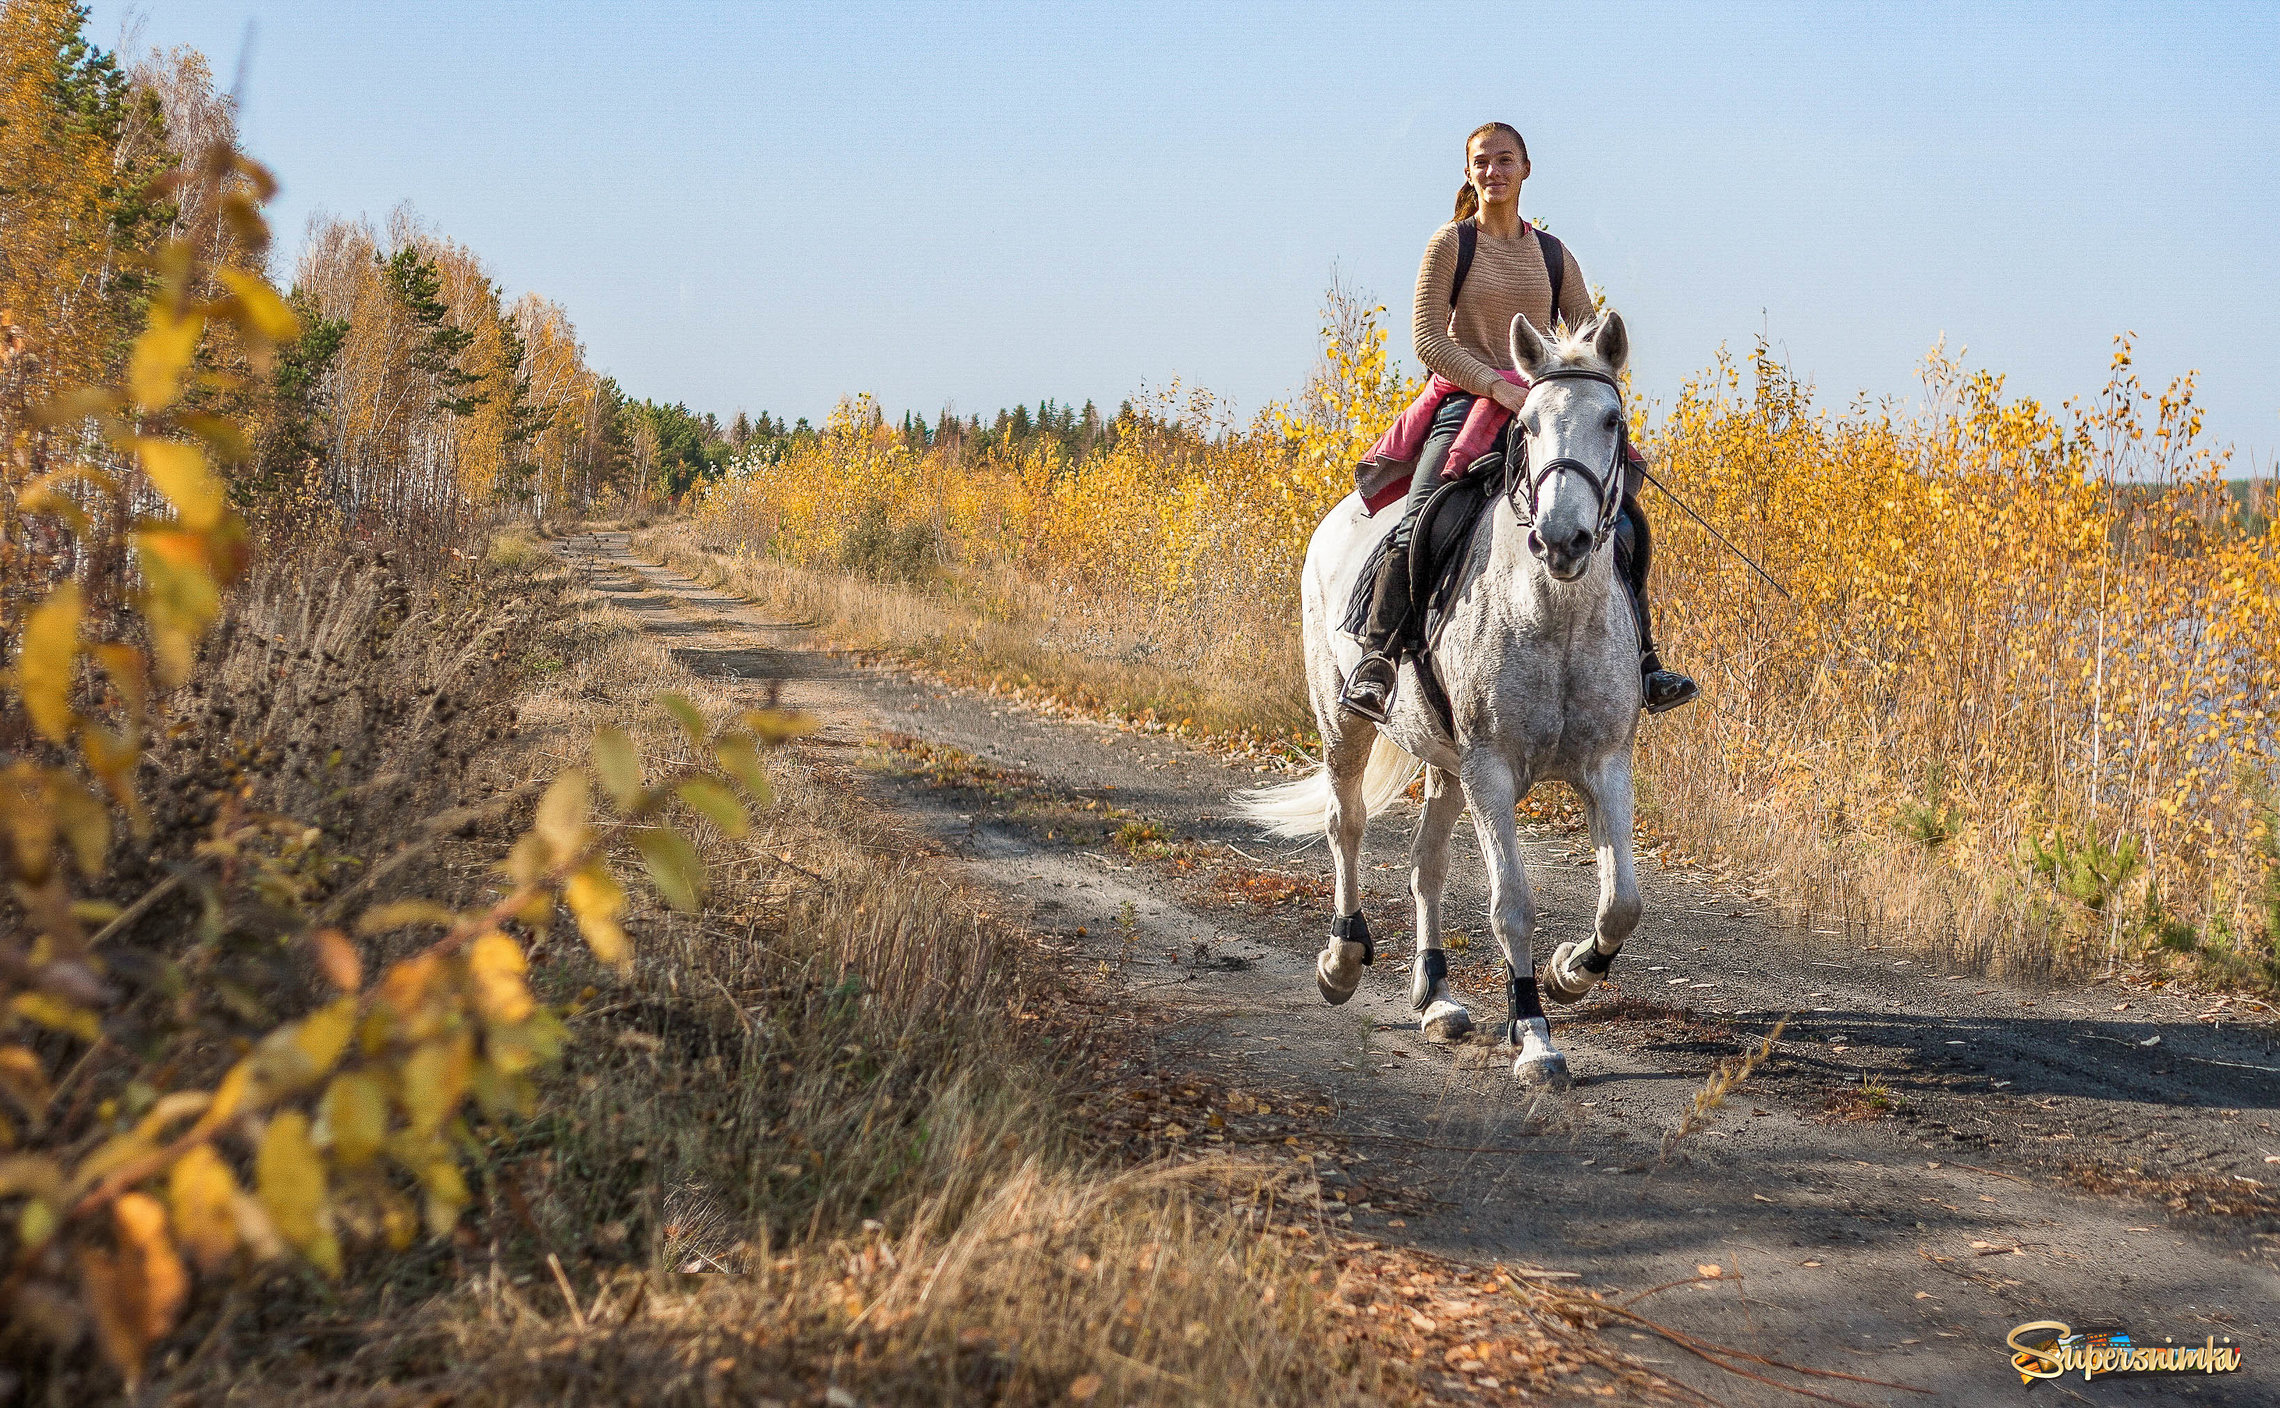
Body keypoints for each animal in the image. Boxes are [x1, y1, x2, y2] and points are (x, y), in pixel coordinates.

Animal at [1240, 309, 1650, 1084]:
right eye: (1528, 422)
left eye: (1611, 420)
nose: (1562, 540)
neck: (1554, 615)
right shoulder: (1492, 771)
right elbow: (1510, 902)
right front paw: (1535, 1035)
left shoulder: (1605, 766)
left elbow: (1622, 902)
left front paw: (1569, 973)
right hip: (1345, 723)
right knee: (1346, 825)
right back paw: (1341, 960)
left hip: (1446, 763)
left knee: (1424, 864)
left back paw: (1436, 997)